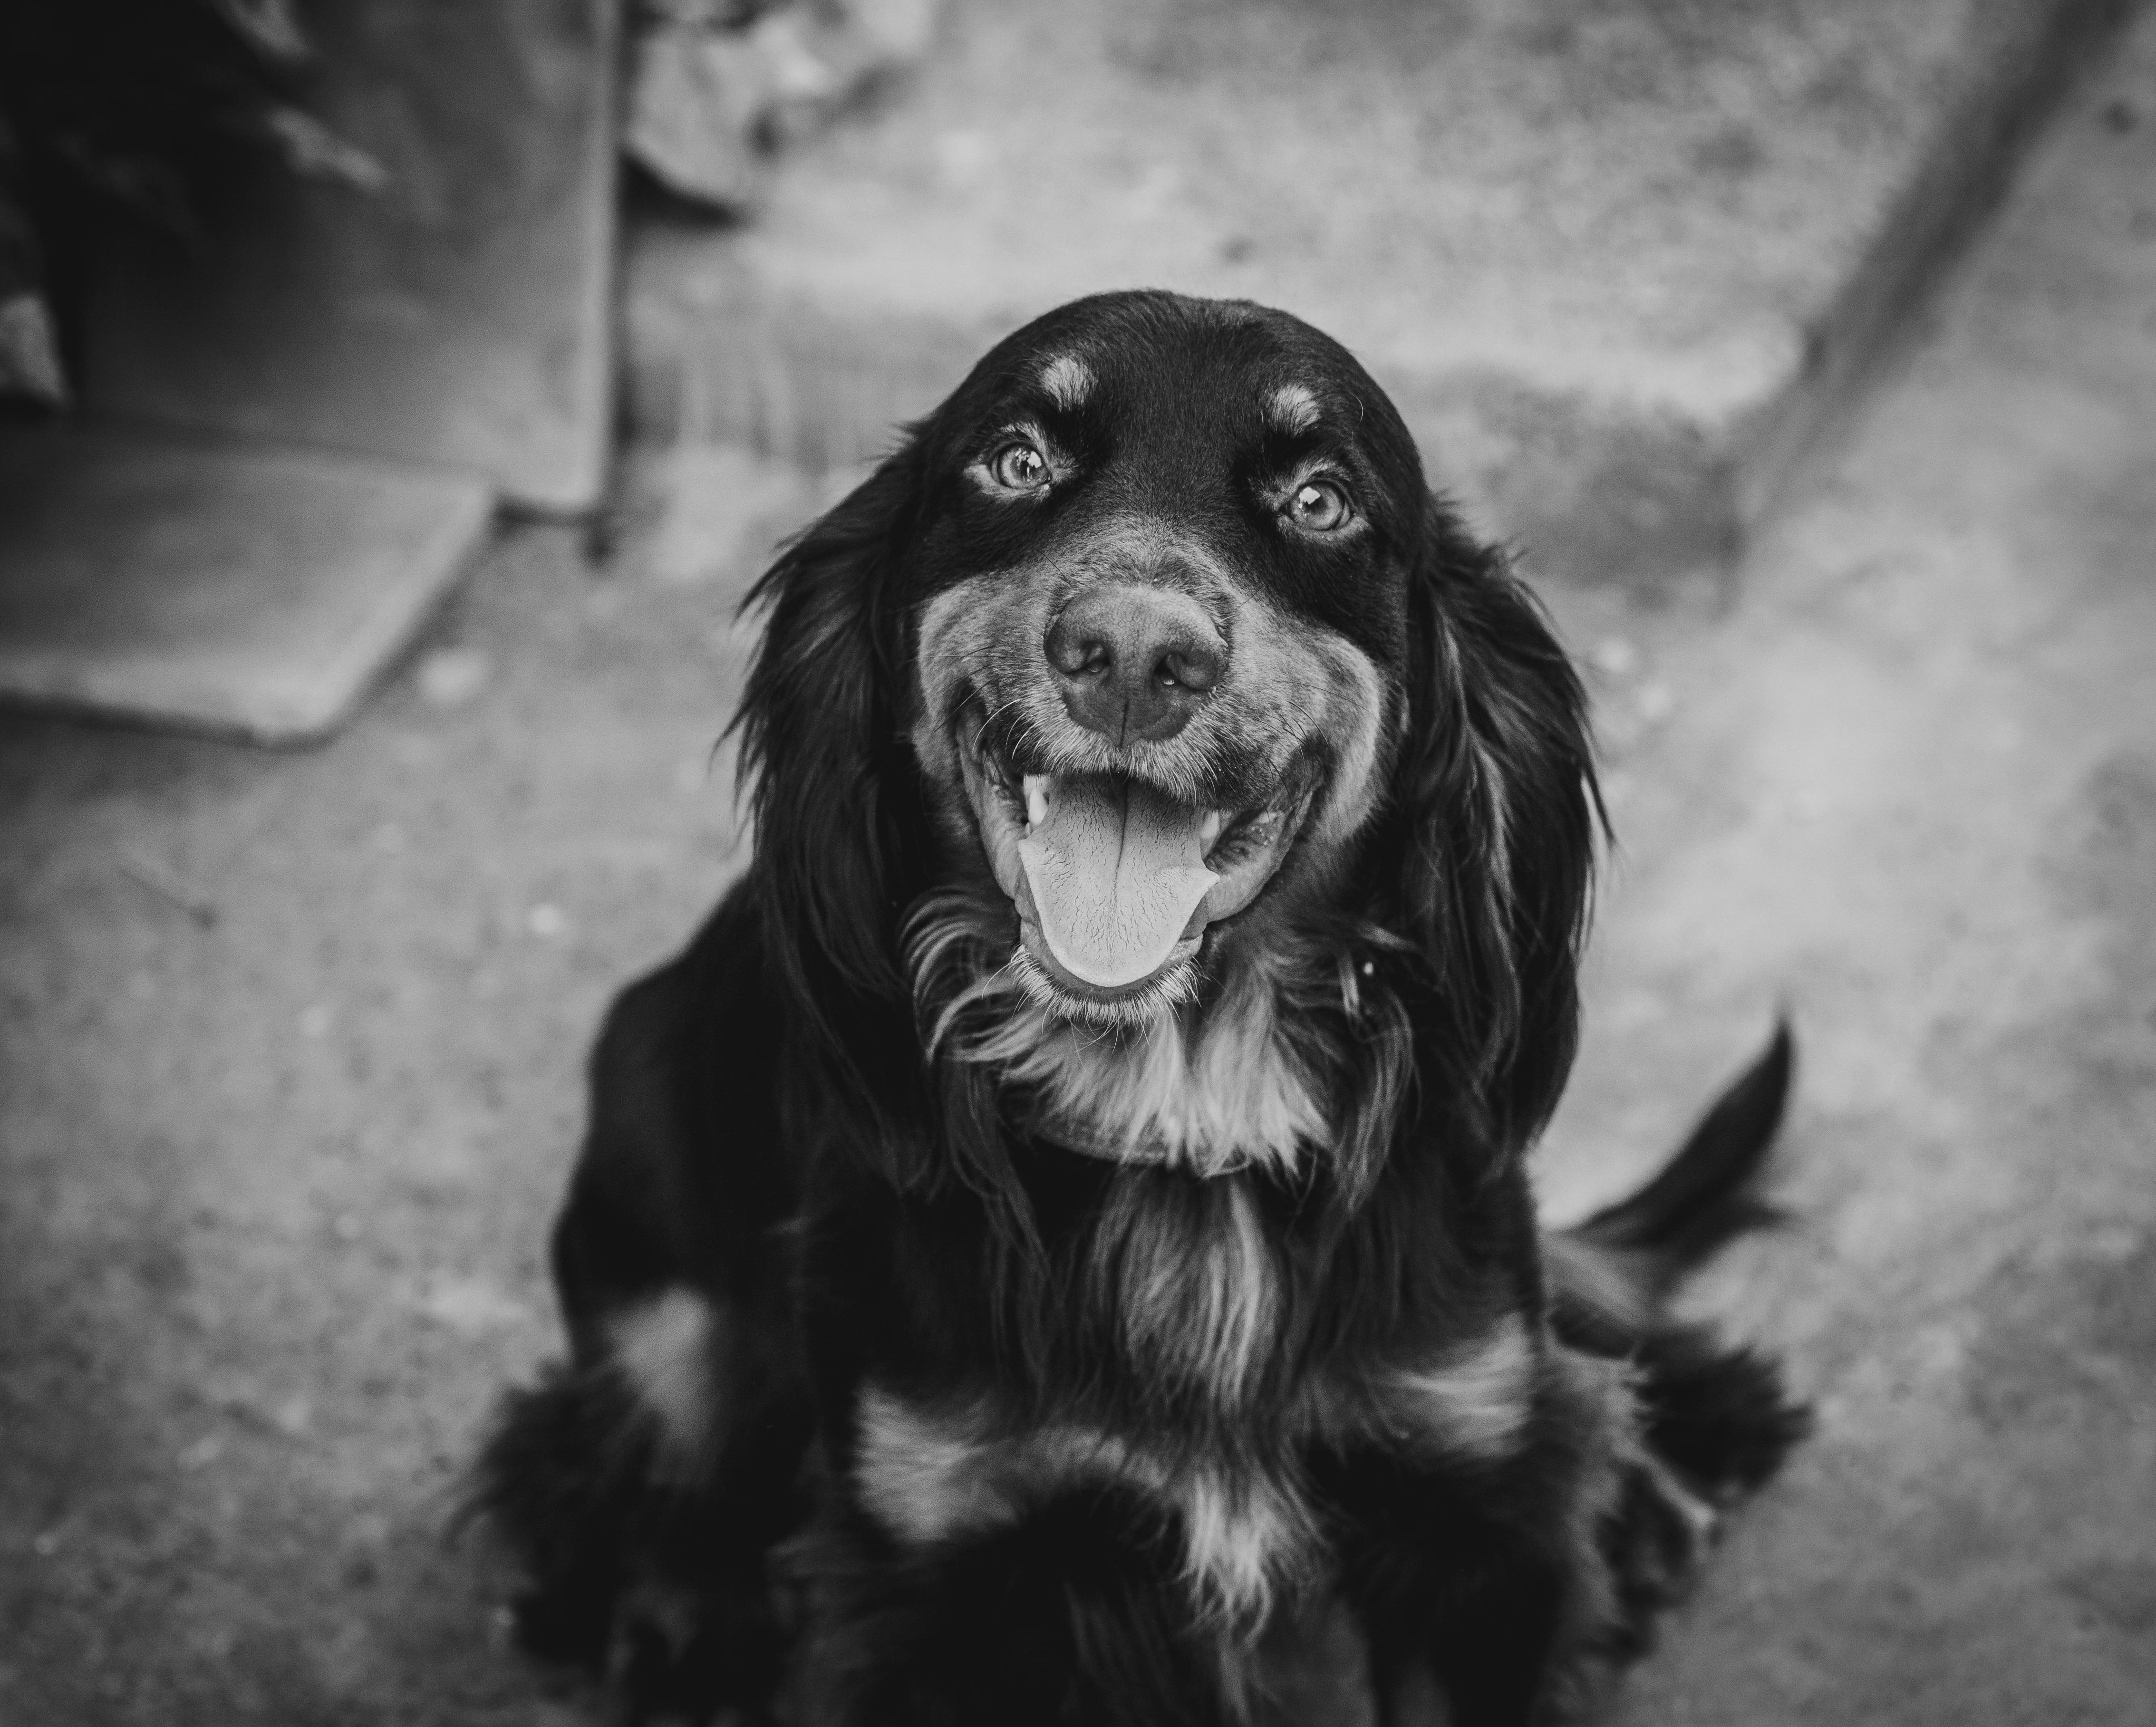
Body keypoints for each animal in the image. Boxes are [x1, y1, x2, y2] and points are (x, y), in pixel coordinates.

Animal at [476, 289, 1802, 1716]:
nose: (1129, 655)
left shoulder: (1472, 1519)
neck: (1181, 1108)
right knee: (655, 1459)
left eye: (1321, 499)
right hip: (646, 1216)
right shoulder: (934, 1556)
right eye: (1013, 461)